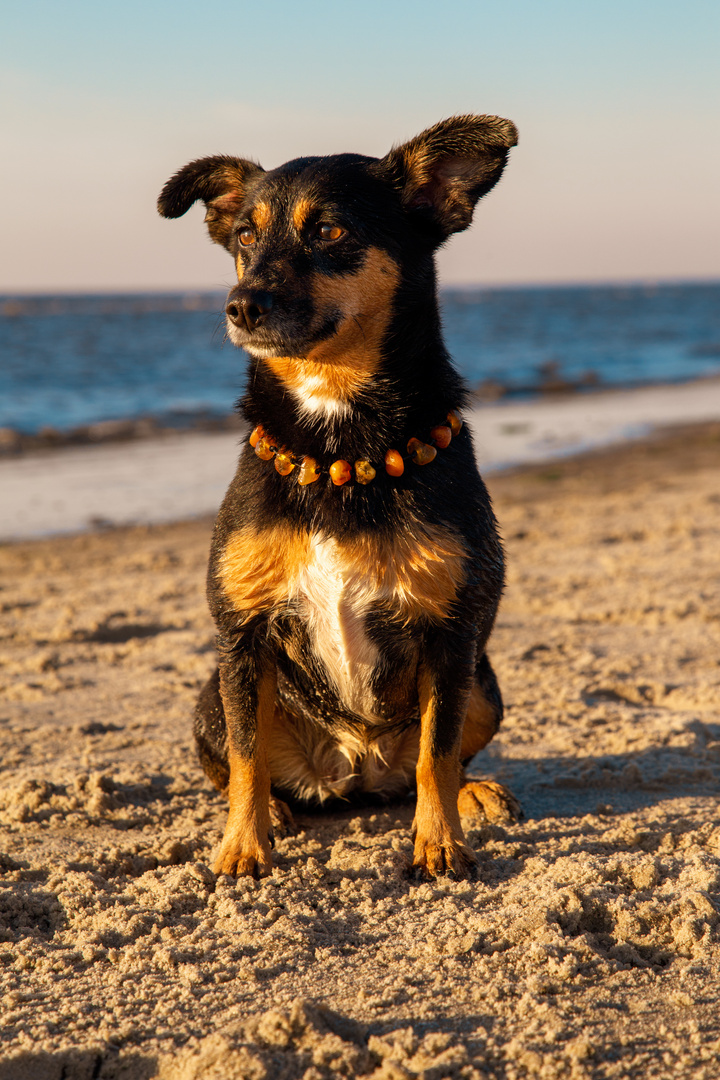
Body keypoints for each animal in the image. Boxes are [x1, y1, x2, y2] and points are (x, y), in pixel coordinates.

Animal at [157, 116, 520, 876]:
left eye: (328, 231)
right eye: (244, 238)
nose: (240, 306)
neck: (338, 446)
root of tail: (356, 773)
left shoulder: (451, 634)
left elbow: (438, 754)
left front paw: (439, 844)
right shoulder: (242, 635)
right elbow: (245, 757)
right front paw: (243, 844)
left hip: (484, 683)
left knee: (439, 759)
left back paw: (473, 794)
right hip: (211, 697)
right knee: (244, 759)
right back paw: (275, 810)